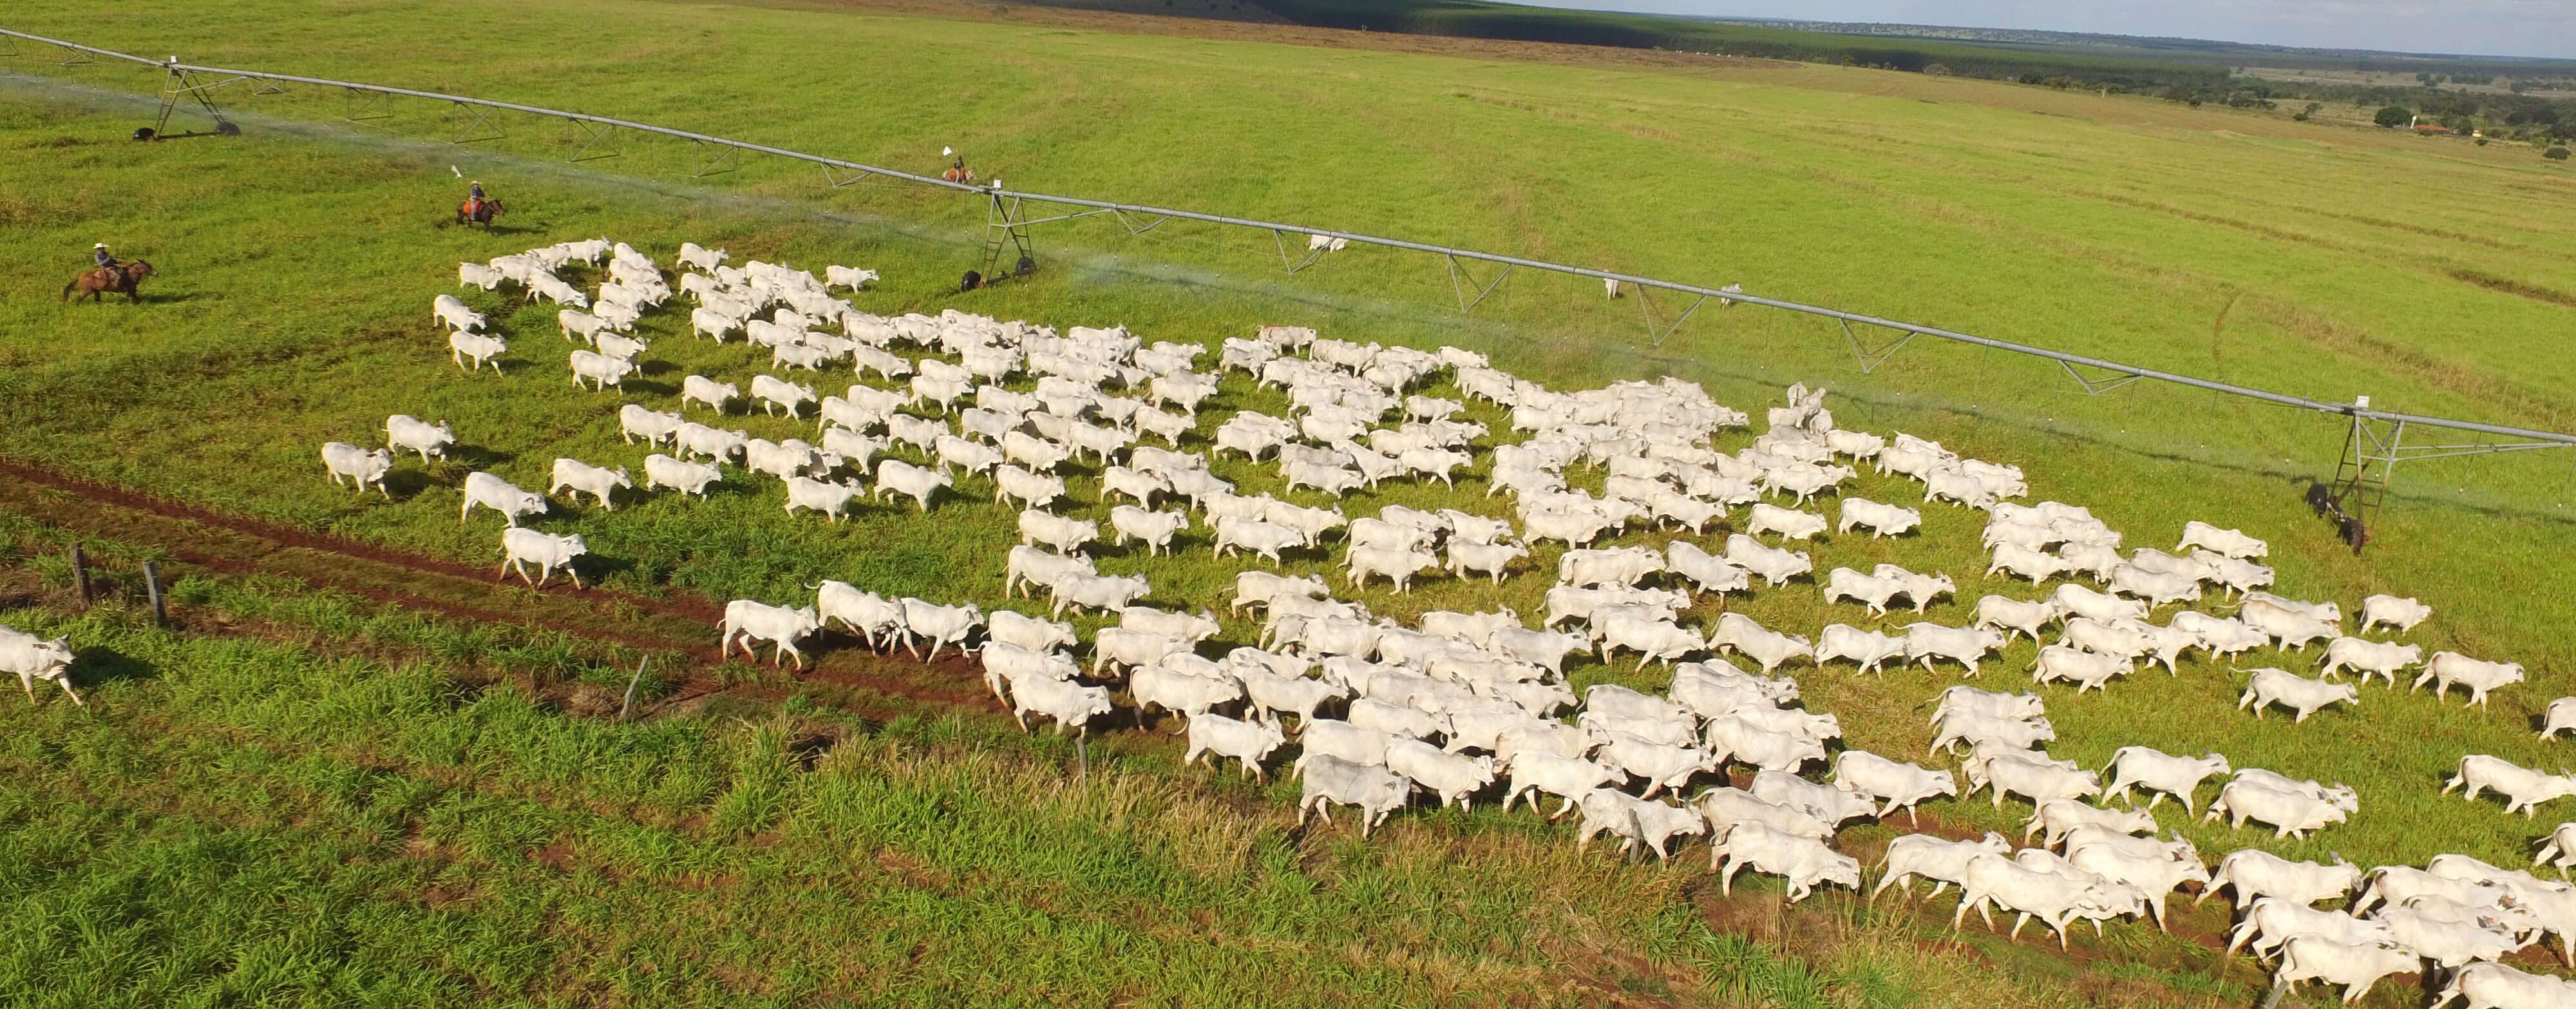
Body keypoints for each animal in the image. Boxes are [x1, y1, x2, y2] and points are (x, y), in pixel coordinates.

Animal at [62, 258, 157, 301]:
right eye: (148, 266)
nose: (157, 274)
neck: (129, 275)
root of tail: (79, 277)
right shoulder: (130, 290)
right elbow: (134, 299)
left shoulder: (132, 290)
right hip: (86, 291)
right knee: (79, 298)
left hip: (96, 291)